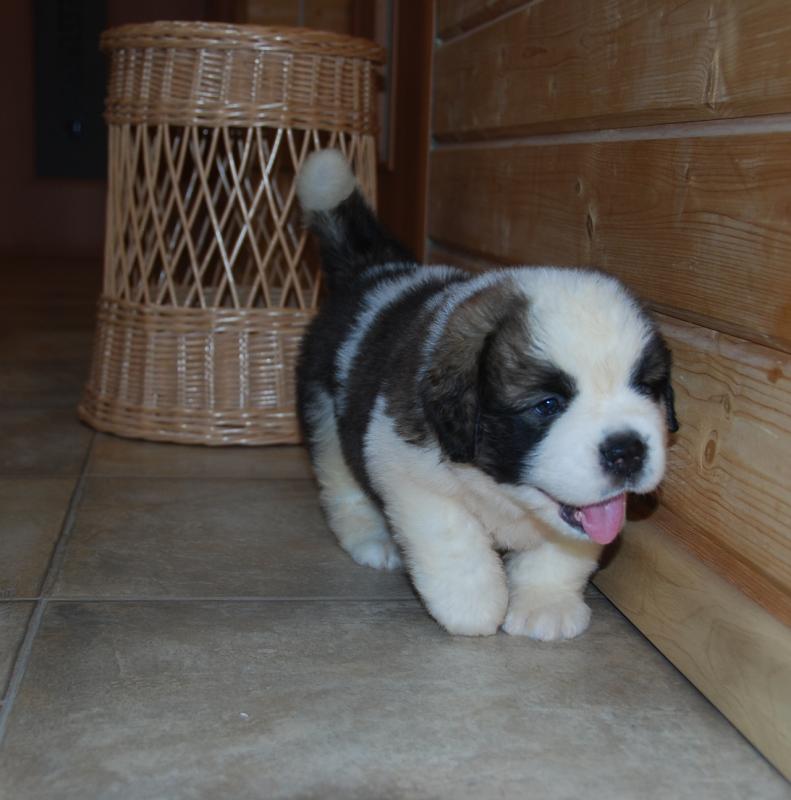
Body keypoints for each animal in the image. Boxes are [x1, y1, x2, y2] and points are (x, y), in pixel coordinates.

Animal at [295, 149, 677, 640]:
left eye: (645, 387)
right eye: (547, 405)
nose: (627, 450)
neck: (507, 494)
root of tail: (375, 270)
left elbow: (560, 554)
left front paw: (546, 605)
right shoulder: (406, 468)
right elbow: (455, 542)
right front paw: (472, 605)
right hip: (326, 418)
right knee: (342, 483)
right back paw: (370, 537)